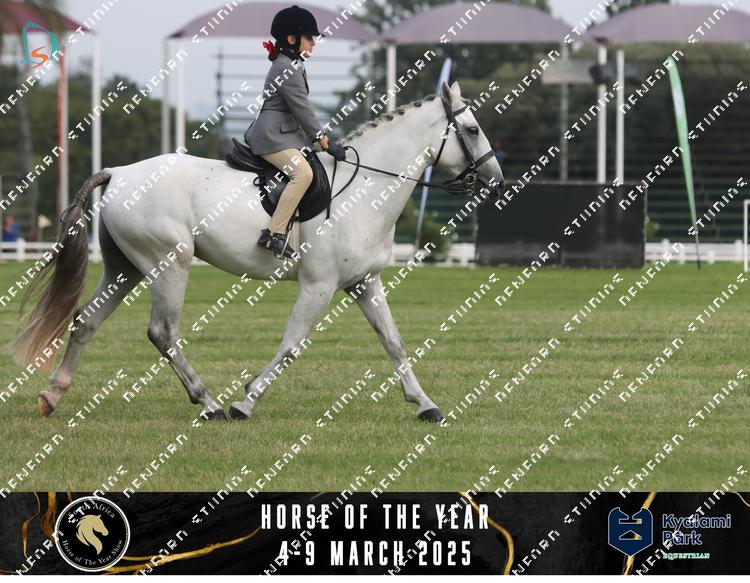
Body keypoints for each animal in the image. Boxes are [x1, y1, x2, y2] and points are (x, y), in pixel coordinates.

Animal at [12, 81, 504, 423]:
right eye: (473, 130)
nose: (496, 181)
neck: (367, 187)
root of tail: (118, 172)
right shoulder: (319, 286)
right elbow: (291, 346)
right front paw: (245, 401)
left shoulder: (365, 283)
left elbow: (395, 343)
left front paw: (425, 404)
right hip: (168, 264)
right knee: (162, 333)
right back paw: (208, 402)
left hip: (125, 269)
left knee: (86, 321)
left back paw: (52, 395)